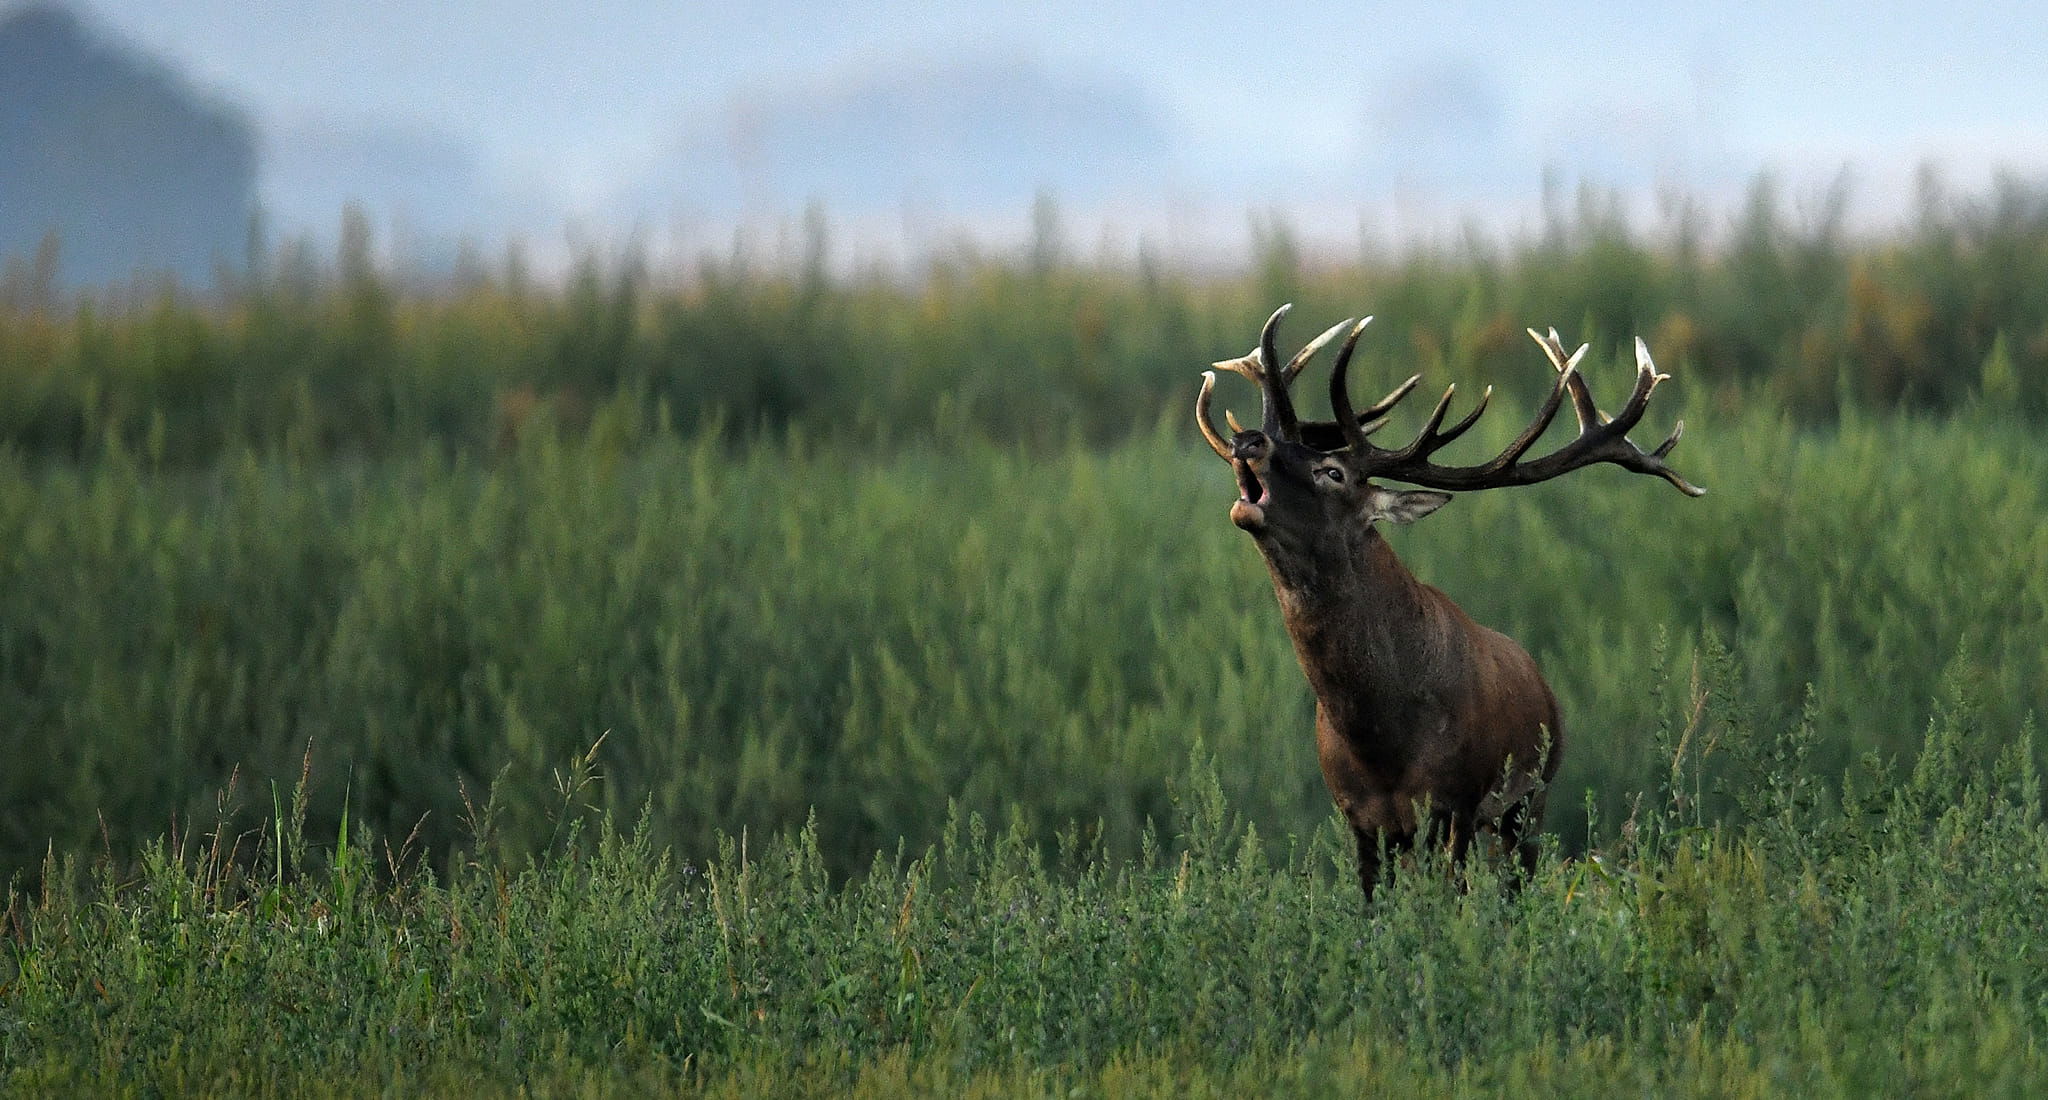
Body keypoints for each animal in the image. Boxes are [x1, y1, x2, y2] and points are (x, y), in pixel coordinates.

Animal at [1194, 305, 1703, 901]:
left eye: (1332, 472)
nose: (1249, 440)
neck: (1382, 739)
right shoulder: (1357, 814)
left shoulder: (1455, 797)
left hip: (1532, 796)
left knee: (1513, 882)